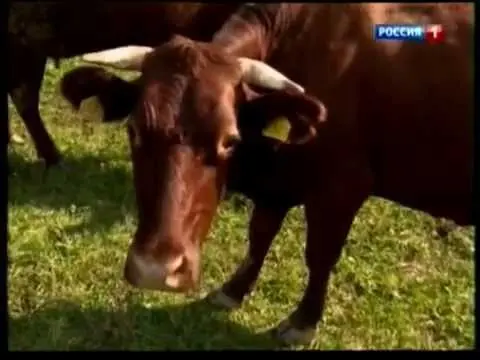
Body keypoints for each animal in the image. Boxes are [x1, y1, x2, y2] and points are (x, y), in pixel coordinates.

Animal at [59, 3, 472, 346]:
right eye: (133, 130)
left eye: (229, 140)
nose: (156, 272)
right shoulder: (279, 182)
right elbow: (259, 235)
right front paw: (232, 290)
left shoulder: (341, 186)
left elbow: (319, 256)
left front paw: (302, 322)